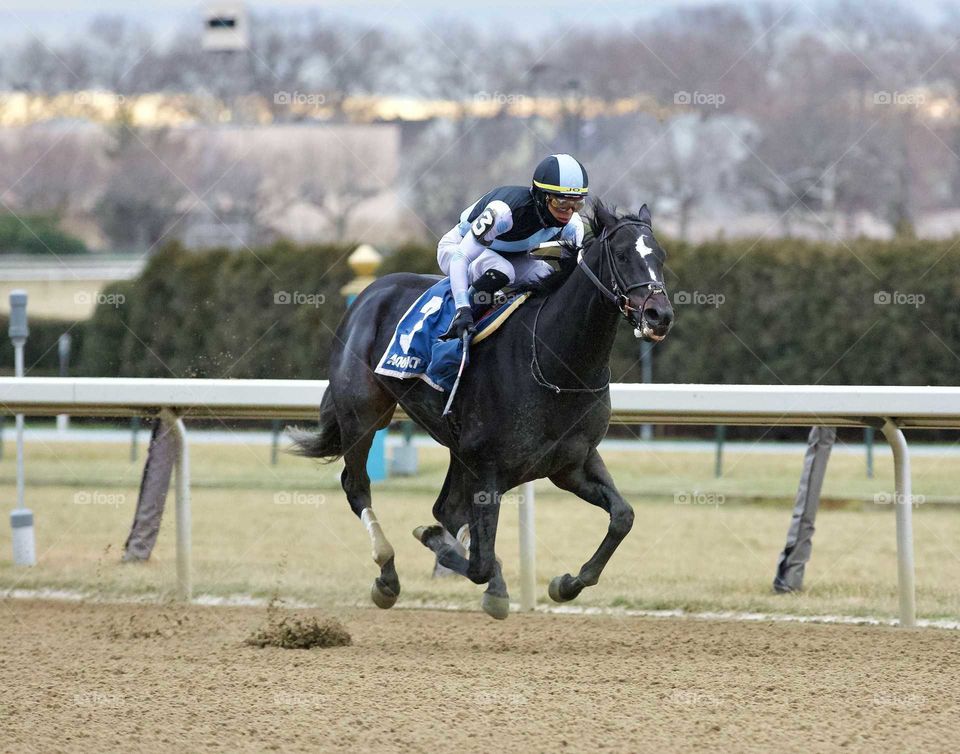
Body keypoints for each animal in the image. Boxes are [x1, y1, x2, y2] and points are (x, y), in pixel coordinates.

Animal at [292, 200, 676, 616]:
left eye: (660, 256)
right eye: (621, 255)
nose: (659, 315)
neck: (557, 362)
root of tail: (368, 293)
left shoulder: (572, 462)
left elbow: (623, 517)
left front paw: (566, 583)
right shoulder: (489, 466)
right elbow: (478, 561)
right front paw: (451, 555)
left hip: (457, 448)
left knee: (446, 508)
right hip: (362, 414)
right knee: (358, 487)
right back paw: (387, 576)